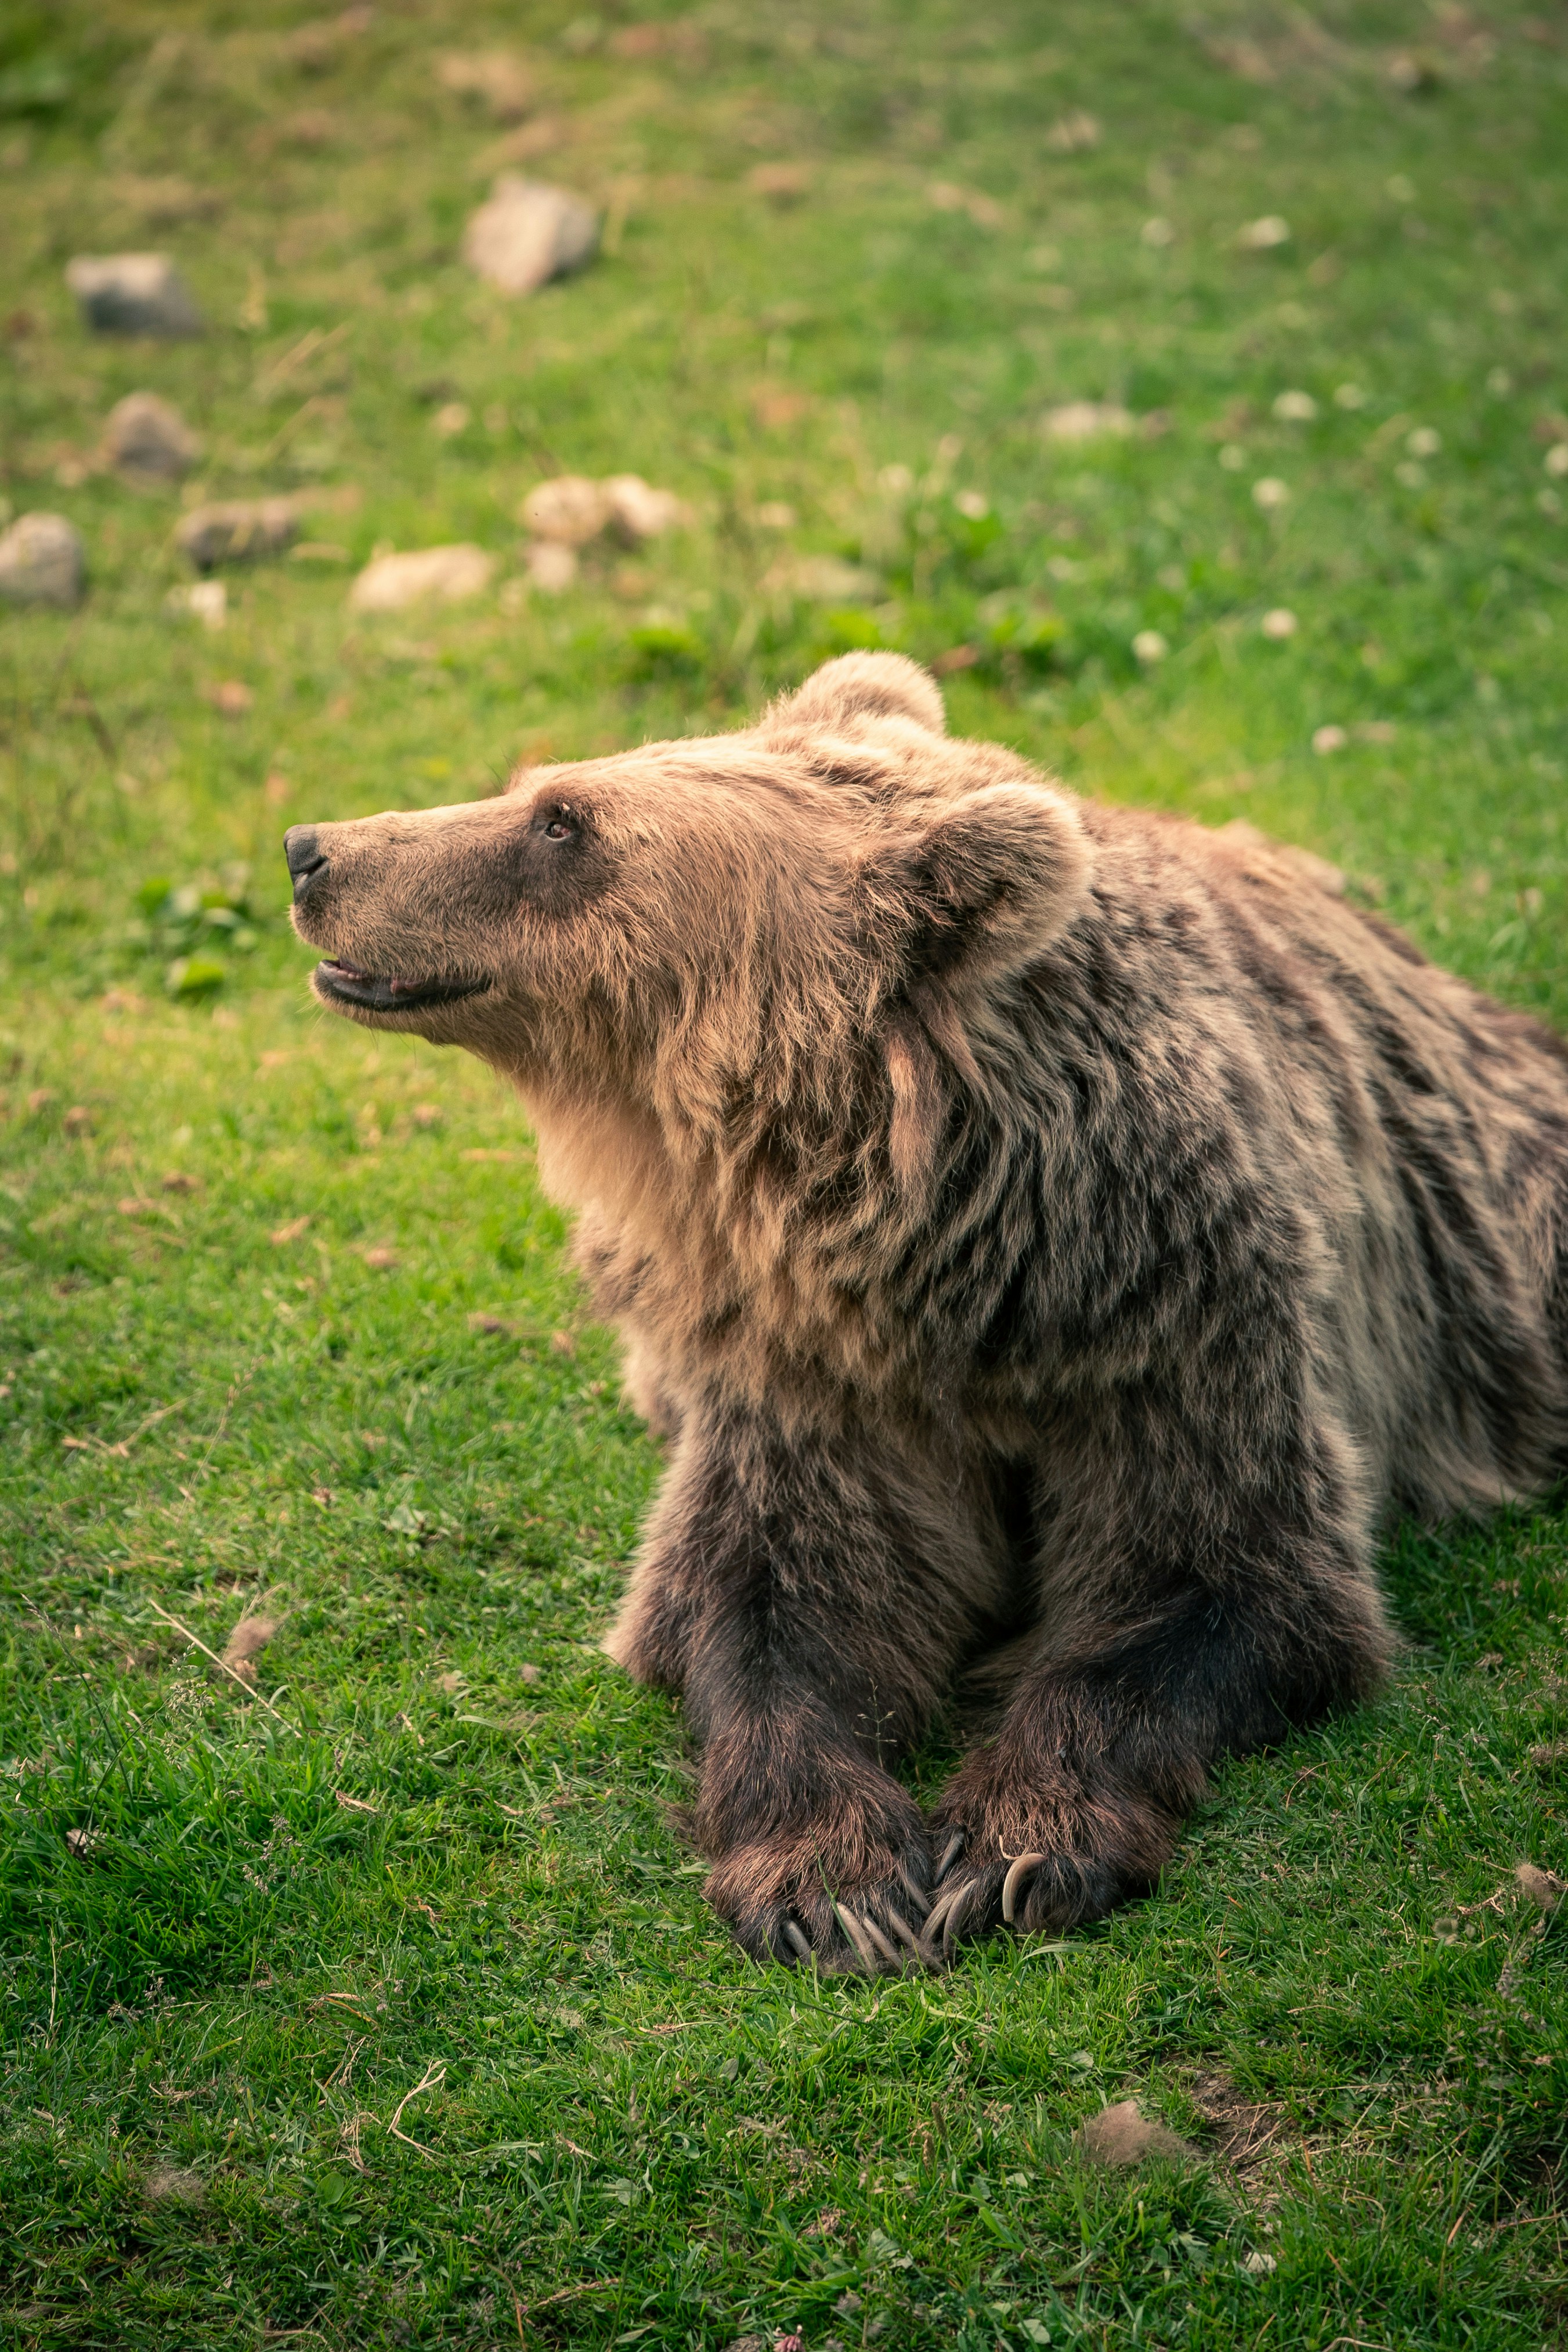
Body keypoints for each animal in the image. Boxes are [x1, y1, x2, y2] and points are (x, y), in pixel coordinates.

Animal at [286, 651, 1568, 1972]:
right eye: (541, 789)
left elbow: (1214, 1580)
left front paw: (1014, 1846)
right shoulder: (809, 1370)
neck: (959, 1267)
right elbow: (771, 1598)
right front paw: (833, 1877)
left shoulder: (1180, 1325)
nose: (312, 849)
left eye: (561, 821)